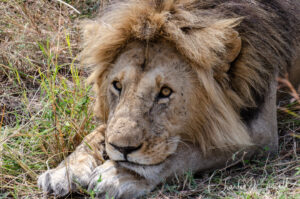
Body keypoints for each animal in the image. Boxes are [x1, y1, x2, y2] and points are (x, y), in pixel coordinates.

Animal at [38, 0, 300, 198]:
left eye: (165, 92)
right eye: (117, 86)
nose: (123, 149)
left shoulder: (262, 134)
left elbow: (188, 153)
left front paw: (120, 175)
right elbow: (98, 132)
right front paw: (65, 171)